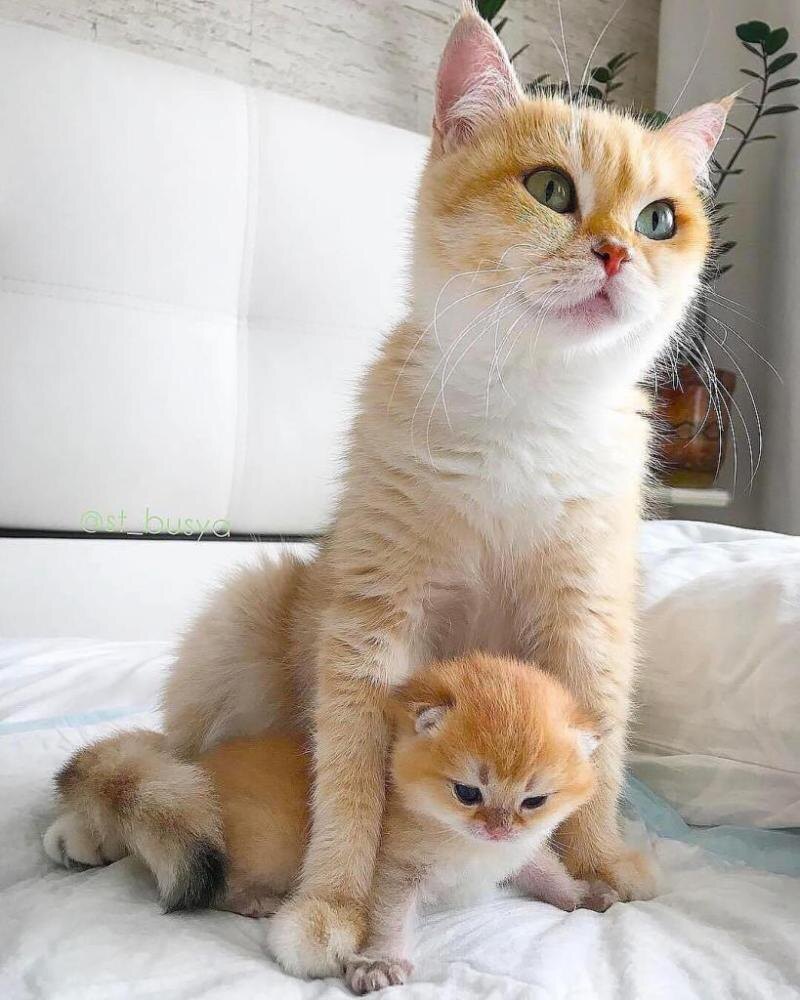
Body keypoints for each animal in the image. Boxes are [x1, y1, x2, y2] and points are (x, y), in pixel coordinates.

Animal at [45, 653, 617, 992]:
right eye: (467, 793)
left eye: (534, 801)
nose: (498, 827)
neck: (468, 847)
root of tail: (190, 769)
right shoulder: (393, 870)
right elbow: (389, 917)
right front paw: (381, 961)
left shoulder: (519, 851)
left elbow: (544, 869)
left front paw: (580, 894)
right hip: (255, 846)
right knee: (218, 884)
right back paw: (255, 901)